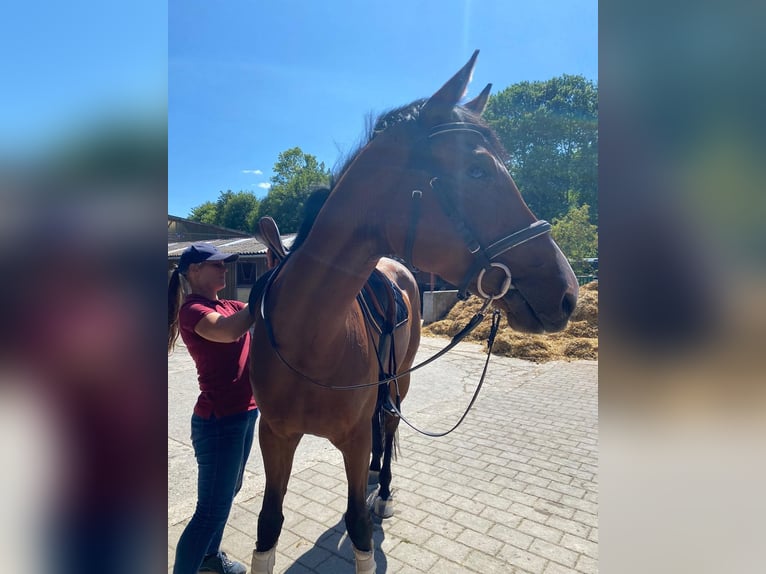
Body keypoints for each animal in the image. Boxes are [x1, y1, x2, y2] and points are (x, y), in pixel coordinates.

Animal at [249, 50, 580, 574]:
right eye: (477, 171)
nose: (567, 292)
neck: (310, 338)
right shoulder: (274, 437)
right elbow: (268, 524)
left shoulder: (352, 438)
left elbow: (359, 527)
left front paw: (373, 501)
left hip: (400, 377)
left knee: (389, 424)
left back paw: (382, 490)